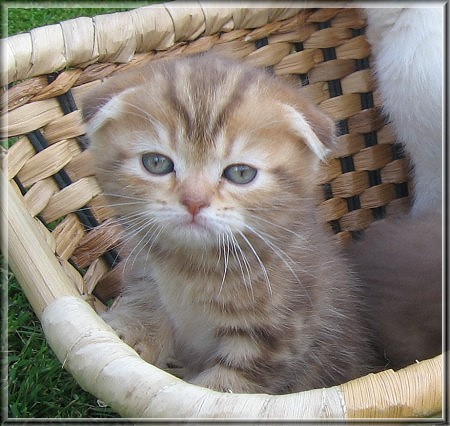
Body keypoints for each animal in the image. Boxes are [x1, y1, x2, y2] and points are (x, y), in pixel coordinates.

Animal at [82, 54, 374, 396]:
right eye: (156, 163)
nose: (194, 201)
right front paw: (132, 331)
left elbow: (222, 389)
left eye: (241, 173)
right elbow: (148, 298)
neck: (194, 268)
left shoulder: (278, 336)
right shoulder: (145, 267)